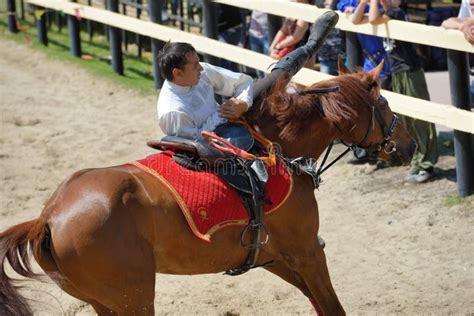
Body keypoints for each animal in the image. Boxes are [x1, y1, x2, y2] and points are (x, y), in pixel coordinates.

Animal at [0, 62, 414, 316]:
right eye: (385, 103)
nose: (409, 145)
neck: (275, 151)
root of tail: (47, 218)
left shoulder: (274, 256)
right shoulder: (306, 250)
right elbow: (331, 305)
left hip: (104, 301)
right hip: (133, 297)